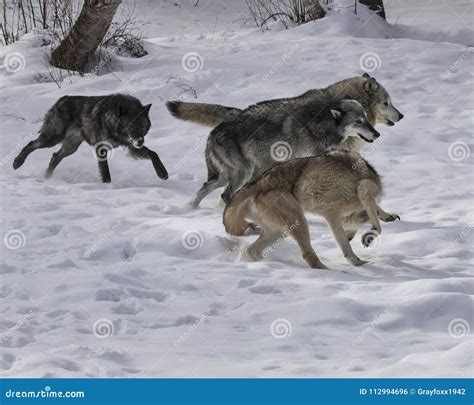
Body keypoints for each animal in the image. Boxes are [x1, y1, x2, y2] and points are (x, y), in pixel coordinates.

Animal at [191, 97, 380, 205]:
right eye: (358, 121)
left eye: (366, 119)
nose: (377, 134)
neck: (318, 125)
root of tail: (213, 132)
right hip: (243, 172)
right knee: (225, 194)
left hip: (228, 176)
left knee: (204, 188)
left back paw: (191, 209)